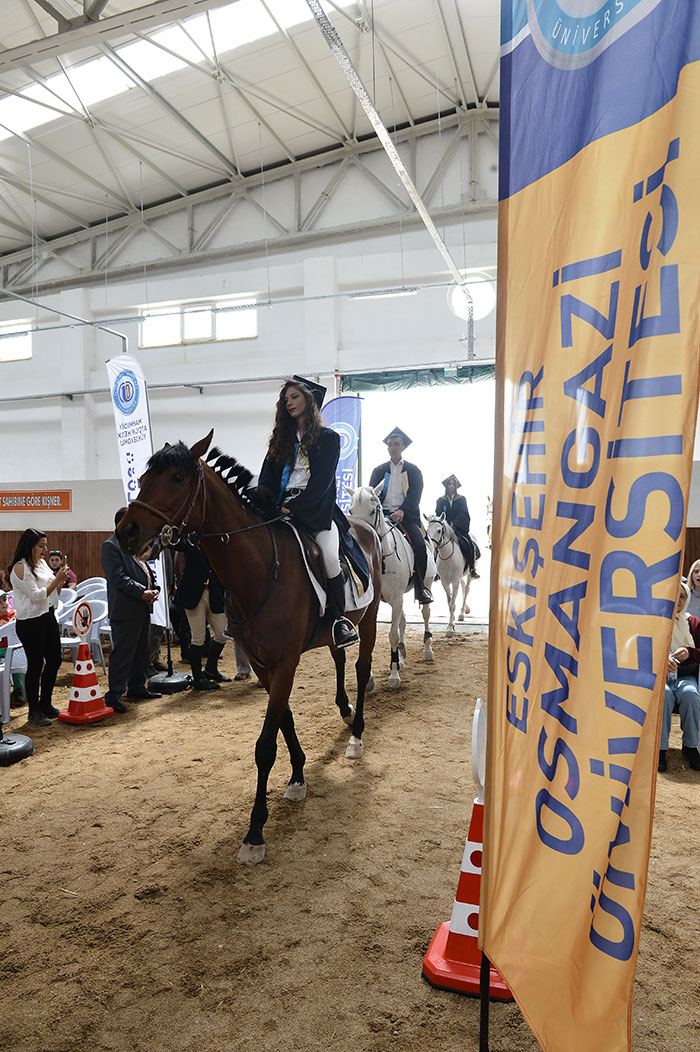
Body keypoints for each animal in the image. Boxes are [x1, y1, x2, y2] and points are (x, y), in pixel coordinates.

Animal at [120, 431, 383, 866]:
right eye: (141, 478)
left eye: (176, 477)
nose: (126, 531)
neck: (260, 567)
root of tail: (363, 524)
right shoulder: (264, 665)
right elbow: (285, 722)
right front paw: (298, 776)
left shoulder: (286, 662)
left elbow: (265, 745)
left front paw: (255, 831)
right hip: (338, 630)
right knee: (340, 655)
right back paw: (344, 709)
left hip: (371, 616)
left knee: (362, 671)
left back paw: (357, 735)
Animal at [347, 481, 433, 685]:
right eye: (351, 510)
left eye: (374, 510)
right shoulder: (377, 603)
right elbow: (370, 637)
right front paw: (369, 677)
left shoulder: (395, 599)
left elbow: (392, 635)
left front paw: (393, 676)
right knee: (402, 621)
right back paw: (401, 658)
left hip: (425, 584)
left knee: (425, 614)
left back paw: (427, 649)